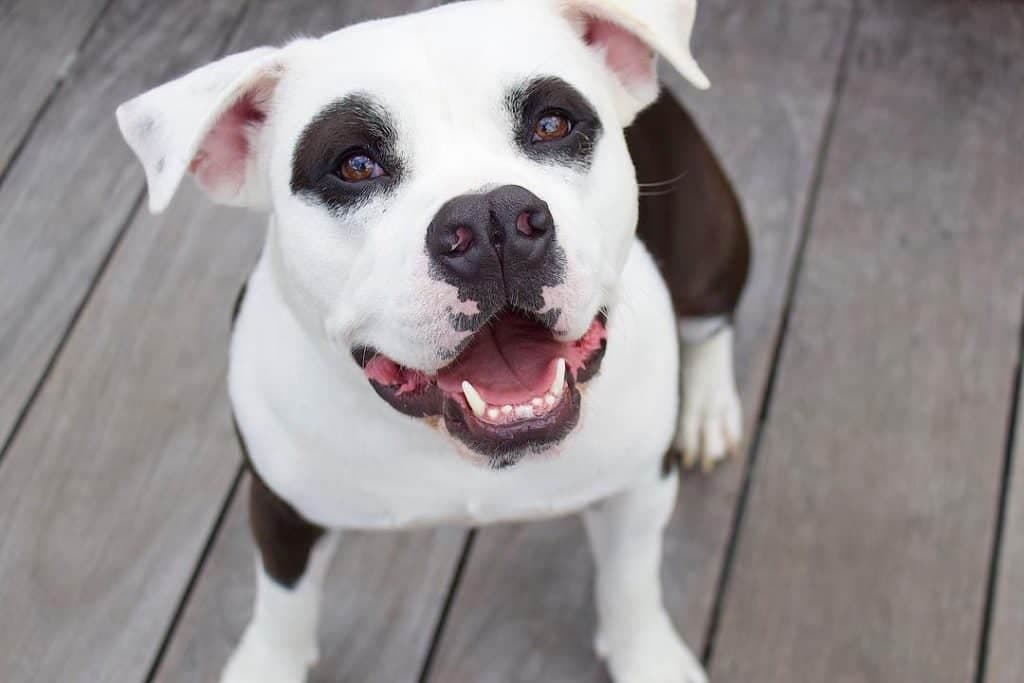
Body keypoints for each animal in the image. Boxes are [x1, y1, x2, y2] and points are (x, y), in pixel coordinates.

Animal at [117, 2, 745, 679]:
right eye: (355, 165)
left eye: (552, 124)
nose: (492, 220)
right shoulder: (282, 510)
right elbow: (282, 608)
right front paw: (267, 665)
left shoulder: (638, 490)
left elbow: (632, 586)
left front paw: (649, 658)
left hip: (710, 245)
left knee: (712, 325)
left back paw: (706, 409)